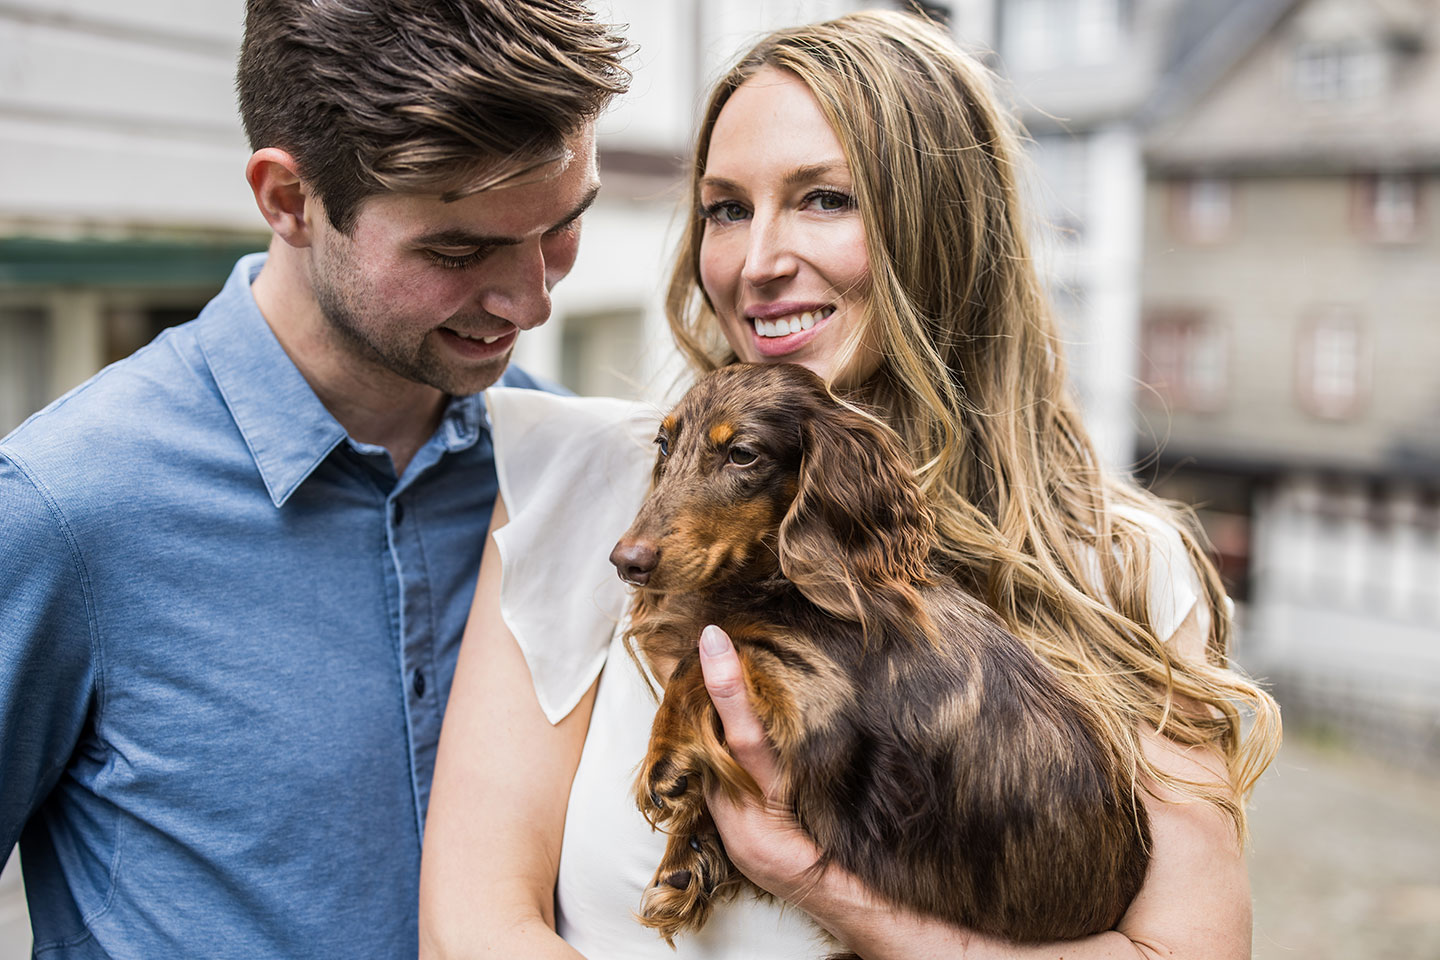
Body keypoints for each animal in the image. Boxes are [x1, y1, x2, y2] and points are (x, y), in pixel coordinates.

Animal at [613, 364, 1152, 949]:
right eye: (664, 444)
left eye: (742, 453)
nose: (626, 562)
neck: (781, 580)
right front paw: (686, 857)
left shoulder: (811, 689)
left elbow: (702, 656)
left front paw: (666, 761)